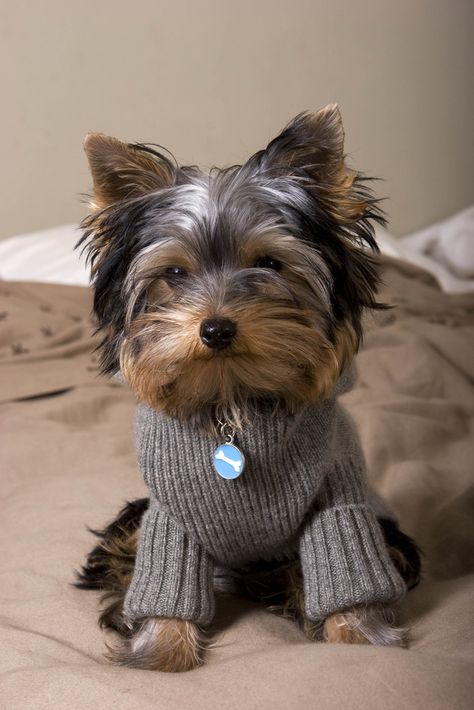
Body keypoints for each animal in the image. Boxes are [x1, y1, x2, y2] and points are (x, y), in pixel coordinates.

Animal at [77, 105, 422, 672]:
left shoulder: (338, 499)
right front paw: (161, 650)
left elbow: (348, 564)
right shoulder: (170, 516)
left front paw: (358, 638)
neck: (232, 398)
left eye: (268, 264)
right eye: (175, 272)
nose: (216, 329)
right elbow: (165, 579)